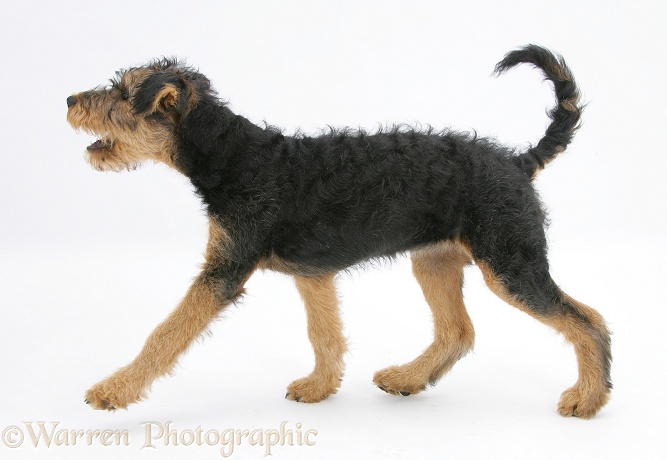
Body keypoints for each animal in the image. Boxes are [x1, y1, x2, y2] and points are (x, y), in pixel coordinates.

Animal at [66, 44, 612, 416]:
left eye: (122, 92)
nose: (70, 98)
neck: (235, 156)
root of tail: (518, 162)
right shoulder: (313, 273)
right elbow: (325, 335)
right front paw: (320, 388)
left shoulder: (223, 271)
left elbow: (164, 334)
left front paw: (112, 390)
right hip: (435, 262)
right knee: (459, 330)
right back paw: (408, 378)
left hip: (510, 265)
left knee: (588, 320)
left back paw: (587, 398)